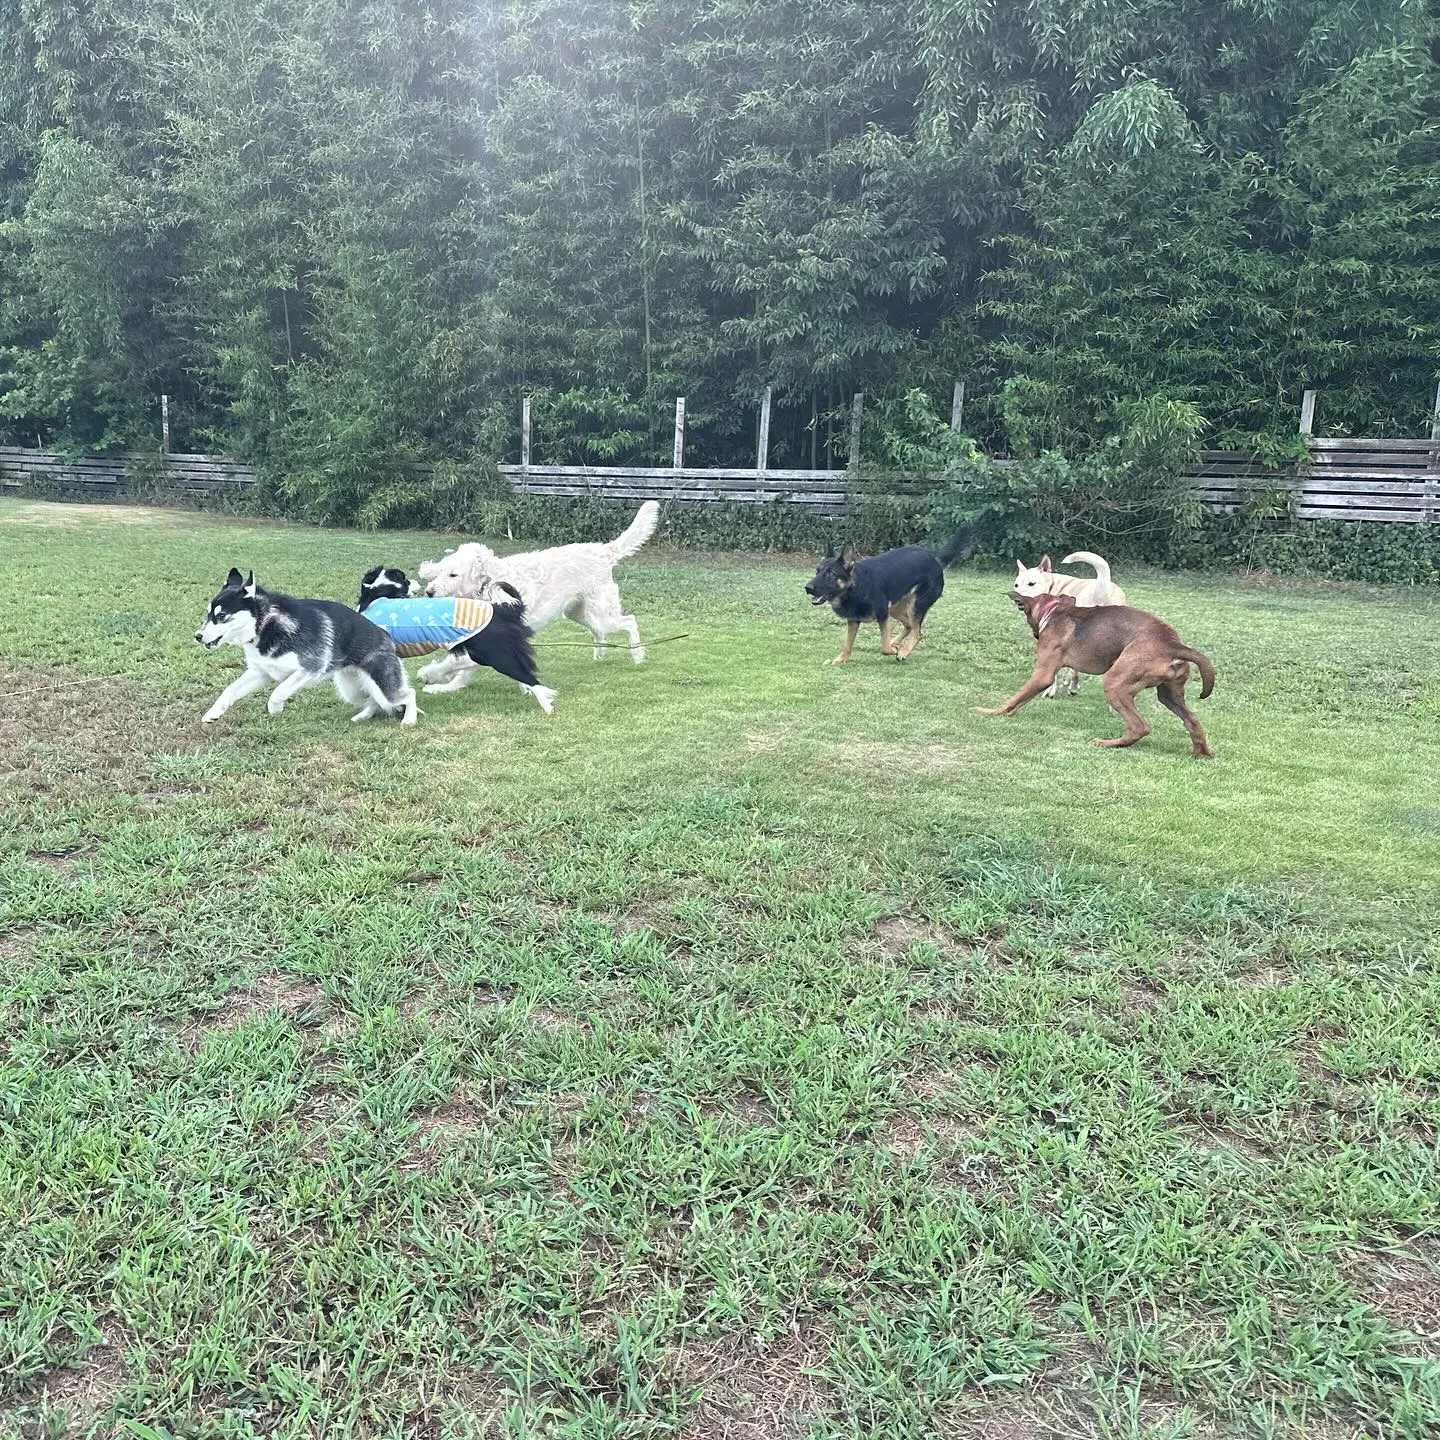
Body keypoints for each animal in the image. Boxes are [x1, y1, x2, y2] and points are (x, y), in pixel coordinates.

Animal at [194, 567, 417, 725]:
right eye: (208, 614)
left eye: (222, 616)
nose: (197, 636)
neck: (265, 624)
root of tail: (383, 633)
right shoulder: (261, 672)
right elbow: (229, 690)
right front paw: (213, 712)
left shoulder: (309, 668)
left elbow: (278, 692)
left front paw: (275, 709)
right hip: (352, 690)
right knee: (373, 701)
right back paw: (362, 717)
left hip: (384, 687)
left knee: (407, 694)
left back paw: (409, 720)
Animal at [360, 567, 555, 714]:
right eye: (406, 580)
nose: (419, 583)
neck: (376, 594)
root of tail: (503, 611)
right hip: (493, 653)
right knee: (523, 670)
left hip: (495, 655)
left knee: (529, 677)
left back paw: (547, 706)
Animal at [420, 501, 659, 662]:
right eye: (440, 572)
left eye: (453, 575)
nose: (429, 592)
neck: (490, 584)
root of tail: (604, 551)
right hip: (580, 614)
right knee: (601, 633)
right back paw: (599, 655)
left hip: (600, 614)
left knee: (629, 622)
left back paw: (637, 655)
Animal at [979, 590, 1215, 760]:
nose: (1035, 634)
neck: (1053, 611)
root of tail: (1173, 644)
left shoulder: (1042, 675)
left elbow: (1015, 698)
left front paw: (991, 711)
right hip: (1169, 694)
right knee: (1192, 719)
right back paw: (1201, 754)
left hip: (1115, 683)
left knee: (1140, 727)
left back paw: (1107, 743)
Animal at [1013, 550, 1123, 696]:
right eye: (1016, 585)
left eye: (1031, 583)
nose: (1016, 599)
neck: (1053, 585)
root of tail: (1101, 590)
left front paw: (1050, 690)